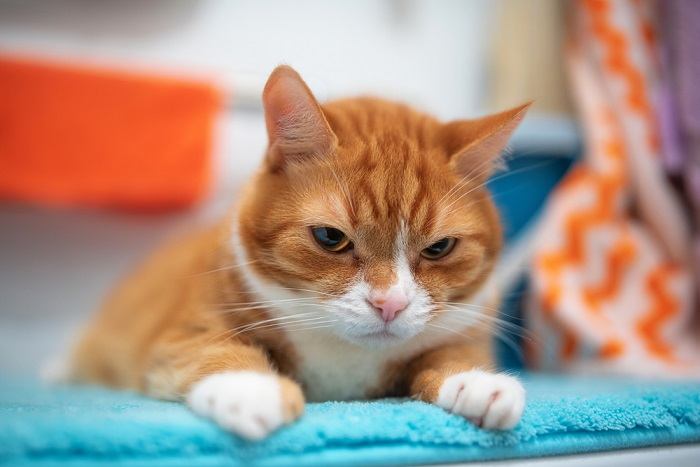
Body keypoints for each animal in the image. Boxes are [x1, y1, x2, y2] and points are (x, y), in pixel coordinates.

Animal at [69, 66, 532, 442]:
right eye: (330, 237)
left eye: (438, 248)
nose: (390, 304)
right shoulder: (184, 333)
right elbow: (215, 351)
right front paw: (252, 390)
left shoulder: (463, 332)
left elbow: (454, 354)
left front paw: (478, 383)